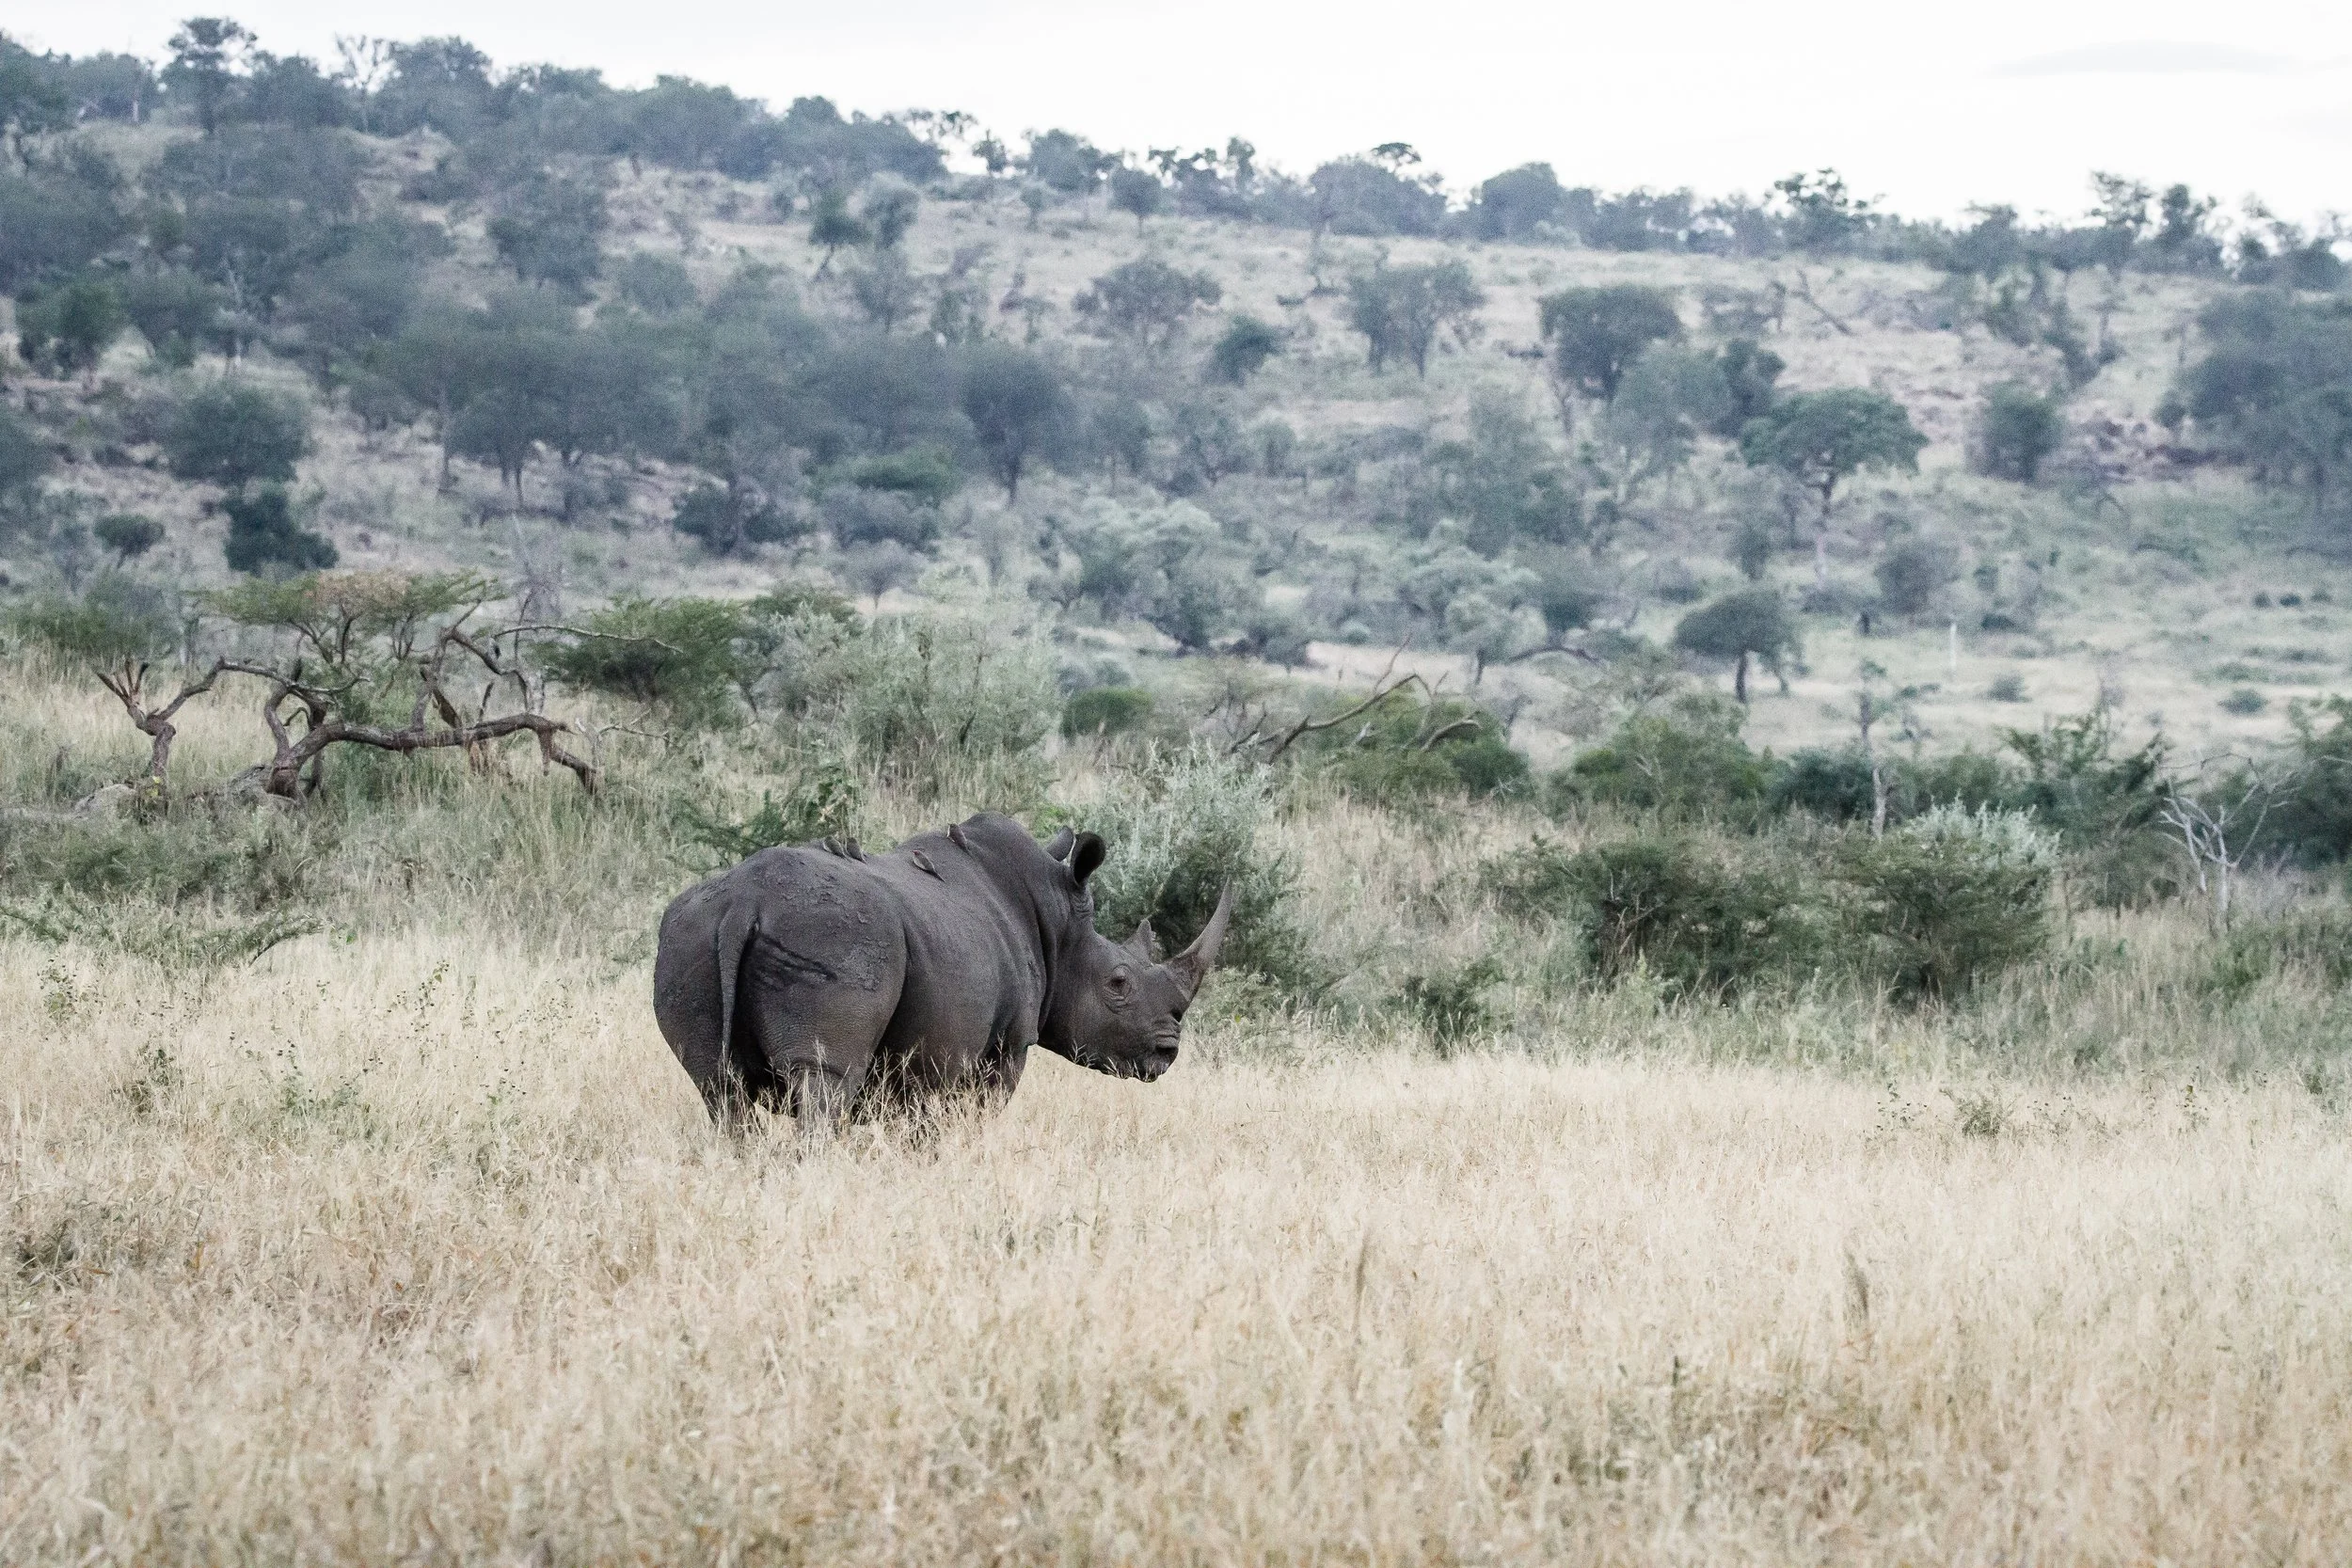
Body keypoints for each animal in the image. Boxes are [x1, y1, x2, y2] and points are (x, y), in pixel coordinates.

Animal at [652, 812, 1232, 1127]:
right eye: (1118, 983)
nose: (1167, 1052)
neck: (1062, 928)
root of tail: (746, 902)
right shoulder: (1005, 1047)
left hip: (690, 933)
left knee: (718, 1089)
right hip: (835, 934)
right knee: (824, 1083)